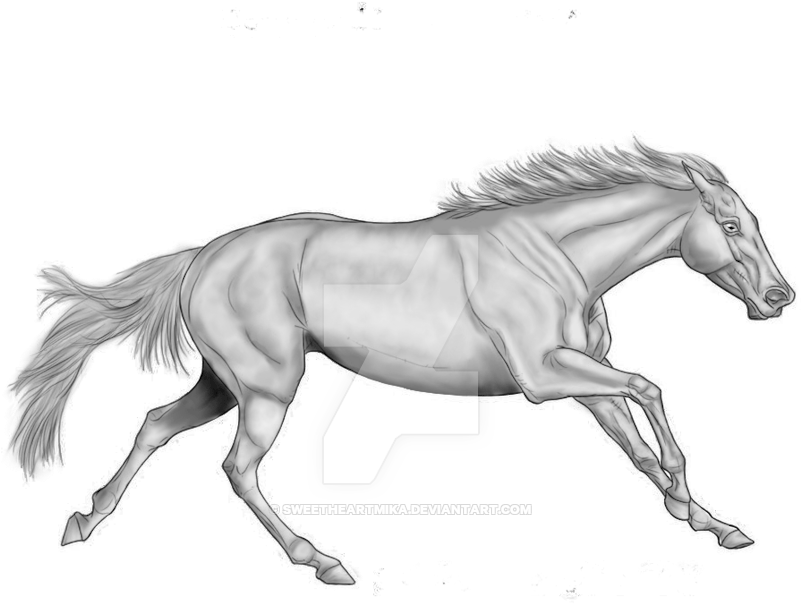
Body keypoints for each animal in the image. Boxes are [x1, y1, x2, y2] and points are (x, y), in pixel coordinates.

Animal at [4, 137, 793, 585]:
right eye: (728, 225)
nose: (778, 297)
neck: (554, 254)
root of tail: (203, 258)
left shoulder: (577, 381)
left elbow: (631, 428)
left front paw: (707, 522)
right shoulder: (544, 374)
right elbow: (647, 386)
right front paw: (686, 495)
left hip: (228, 383)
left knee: (156, 426)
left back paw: (81, 525)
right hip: (266, 387)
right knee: (236, 468)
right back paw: (327, 565)